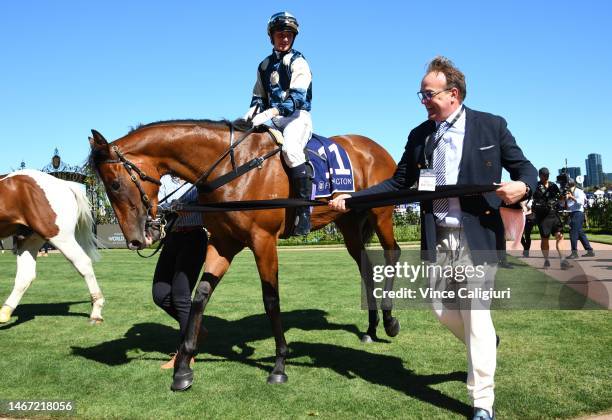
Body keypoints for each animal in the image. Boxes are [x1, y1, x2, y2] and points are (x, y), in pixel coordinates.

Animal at [0, 169, 104, 324]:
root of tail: (64, 184)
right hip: (30, 239)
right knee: (26, 275)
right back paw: (5, 312)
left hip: (59, 236)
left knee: (83, 263)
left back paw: (96, 310)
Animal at [88, 119, 400, 390]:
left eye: (114, 184)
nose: (134, 239)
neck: (232, 168)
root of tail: (374, 146)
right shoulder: (223, 242)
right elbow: (201, 295)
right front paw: (183, 367)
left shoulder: (263, 241)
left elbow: (271, 299)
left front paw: (279, 364)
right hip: (348, 221)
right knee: (365, 264)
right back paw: (371, 328)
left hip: (381, 213)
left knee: (392, 254)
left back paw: (389, 321)